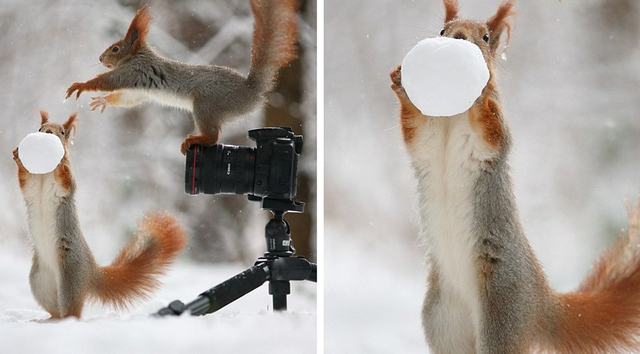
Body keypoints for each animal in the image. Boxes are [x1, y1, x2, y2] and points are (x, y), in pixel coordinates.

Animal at [12, 112, 186, 320]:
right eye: (40, 128)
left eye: (62, 132)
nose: (47, 133)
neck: (45, 174)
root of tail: (91, 271)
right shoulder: (31, 187)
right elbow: (25, 182)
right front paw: (17, 156)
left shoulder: (66, 188)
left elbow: (66, 181)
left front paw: (61, 163)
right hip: (40, 283)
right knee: (56, 310)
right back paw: (47, 321)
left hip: (70, 279)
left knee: (72, 313)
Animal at [66, 0, 302, 154]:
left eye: (115, 49)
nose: (100, 58)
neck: (136, 56)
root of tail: (251, 90)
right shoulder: (138, 90)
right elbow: (126, 99)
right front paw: (103, 101)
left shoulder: (132, 71)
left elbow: (107, 81)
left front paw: (81, 85)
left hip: (207, 104)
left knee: (213, 137)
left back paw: (195, 139)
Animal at [390, 1, 640, 352]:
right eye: (442, 30)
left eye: (484, 36)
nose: (458, 36)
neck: (453, 116)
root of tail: (543, 304)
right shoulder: (426, 139)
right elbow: (415, 132)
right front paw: (401, 82)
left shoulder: (491, 141)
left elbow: (492, 131)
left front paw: (481, 93)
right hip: (443, 321)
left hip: (502, 317)